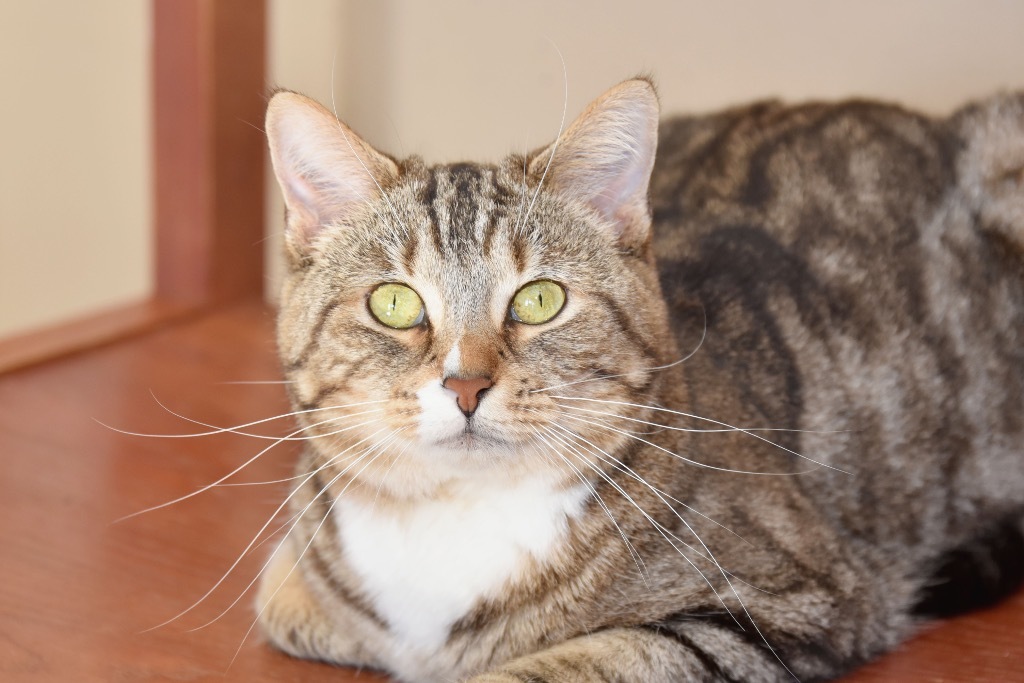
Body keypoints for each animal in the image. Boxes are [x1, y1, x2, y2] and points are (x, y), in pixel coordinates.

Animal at [253, 77, 1024, 679]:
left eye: (540, 299)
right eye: (394, 303)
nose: (464, 386)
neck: (453, 515)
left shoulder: (789, 598)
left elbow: (570, 660)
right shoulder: (297, 574)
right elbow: (287, 603)